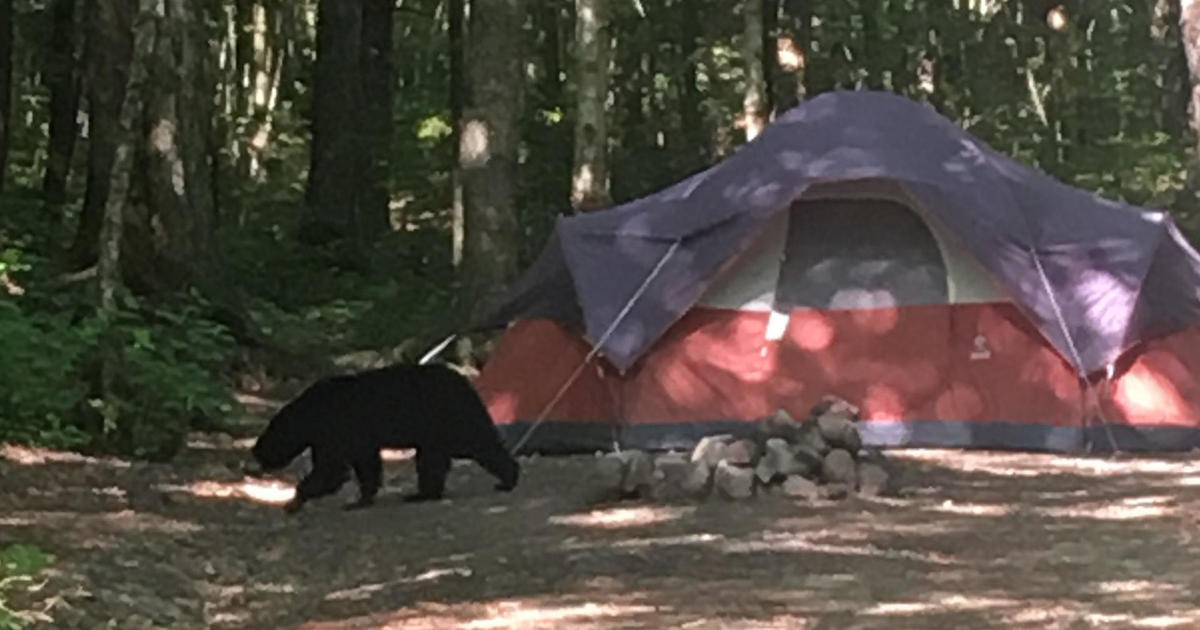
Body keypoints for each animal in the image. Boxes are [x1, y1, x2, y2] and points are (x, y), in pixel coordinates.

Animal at [250, 362, 518, 511]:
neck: (310, 413)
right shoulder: (358, 439)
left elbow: (331, 469)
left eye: (266, 443)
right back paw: (423, 493)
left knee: (478, 443)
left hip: (449, 417)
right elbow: (366, 465)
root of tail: (466, 383)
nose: (255, 457)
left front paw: (294, 500)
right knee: (435, 459)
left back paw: (507, 479)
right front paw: (362, 499)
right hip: (438, 430)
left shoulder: (335, 430)